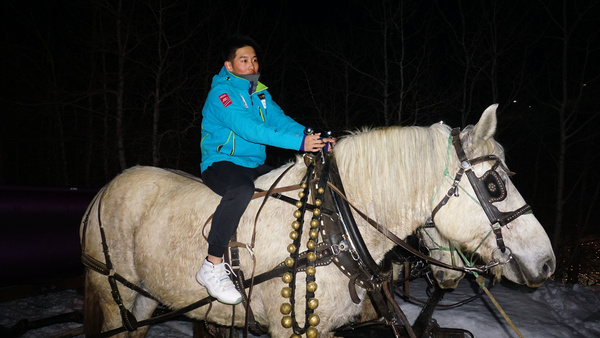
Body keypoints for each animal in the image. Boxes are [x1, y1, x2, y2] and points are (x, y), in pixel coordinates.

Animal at [79, 104, 552, 336]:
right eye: (494, 185)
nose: (547, 262)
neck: (332, 224)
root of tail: (102, 191)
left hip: (145, 298)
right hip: (113, 294)